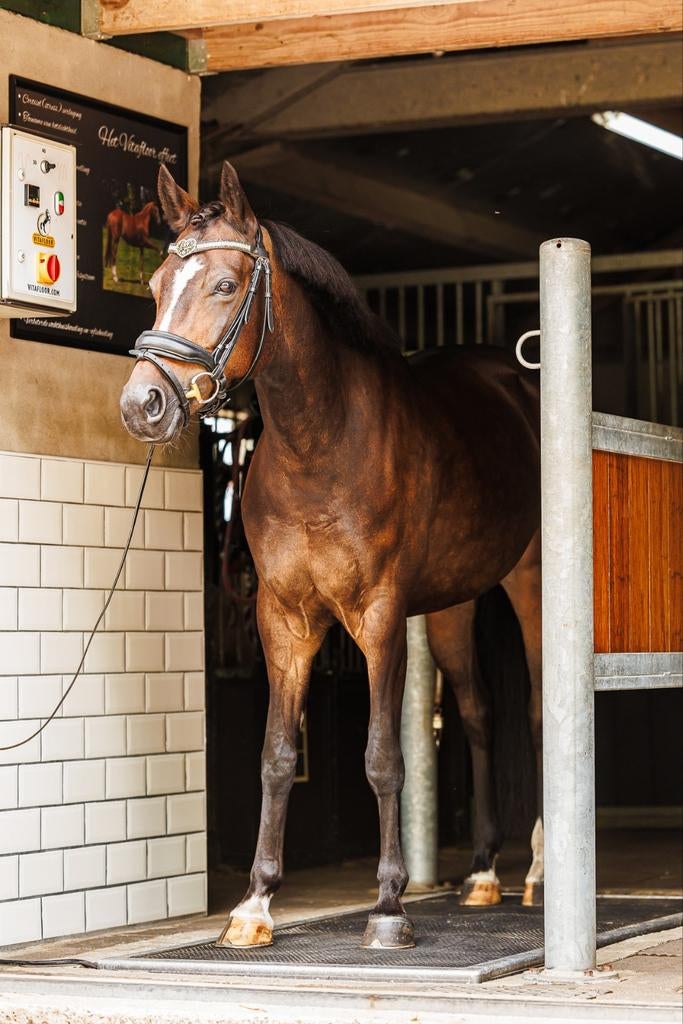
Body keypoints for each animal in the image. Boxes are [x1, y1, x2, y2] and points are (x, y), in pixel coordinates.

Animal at [120, 161, 543, 951]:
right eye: (158, 284)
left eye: (224, 285)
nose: (143, 405)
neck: (321, 442)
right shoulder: (282, 619)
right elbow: (276, 756)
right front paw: (254, 904)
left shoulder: (377, 616)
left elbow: (383, 756)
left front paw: (388, 908)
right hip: (455, 601)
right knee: (477, 714)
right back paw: (482, 874)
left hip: (531, 584)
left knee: (535, 713)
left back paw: (537, 871)